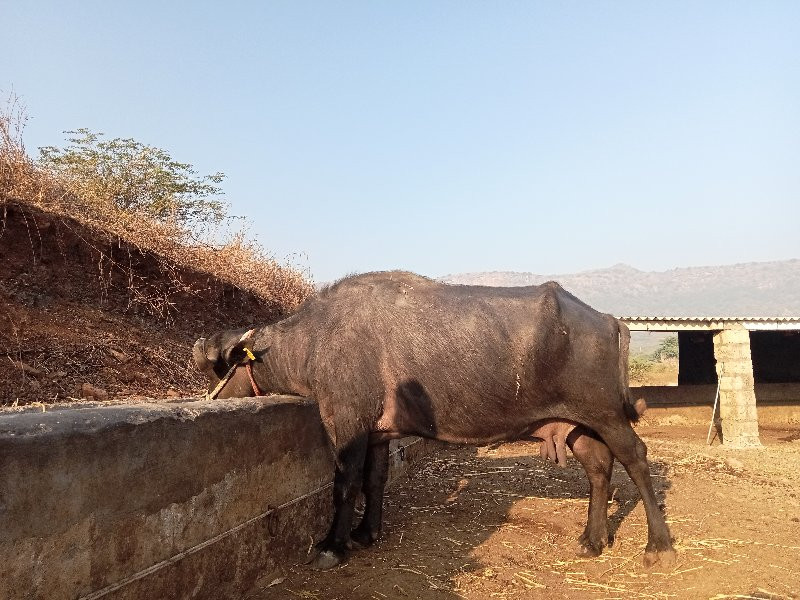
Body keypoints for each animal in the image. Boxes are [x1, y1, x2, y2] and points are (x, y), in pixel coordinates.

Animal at [194, 270, 676, 568]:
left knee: (635, 458)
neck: (315, 340)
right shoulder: (378, 434)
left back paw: (658, 545)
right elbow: (374, 480)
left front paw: (333, 545)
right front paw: (367, 533)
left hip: (607, 415)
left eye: (221, 366)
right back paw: (593, 539)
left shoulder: (346, 423)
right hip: (577, 424)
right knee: (599, 466)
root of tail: (610, 320)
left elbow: (344, 483)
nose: (208, 398)